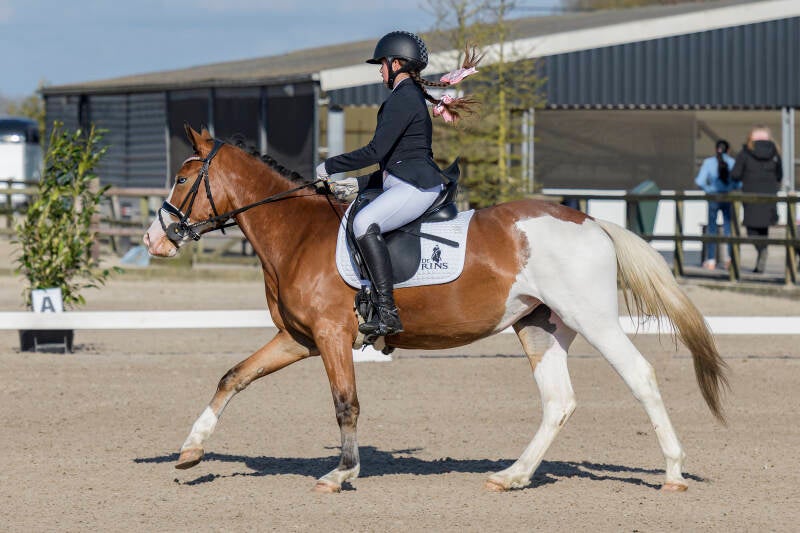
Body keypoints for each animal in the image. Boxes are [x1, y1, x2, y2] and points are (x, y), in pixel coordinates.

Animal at [144, 125, 728, 493]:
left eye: (181, 178)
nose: (155, 240)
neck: (297, 233)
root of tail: (591, 221)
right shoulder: (300, 339)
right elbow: (233, 377)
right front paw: (191, 451)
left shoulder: (332, 337)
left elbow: (345, 404)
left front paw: (341, 474)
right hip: (539, 326)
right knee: (558, 401)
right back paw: (512, 476)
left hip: (594, 319)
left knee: (640, 377)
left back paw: (673, 474)